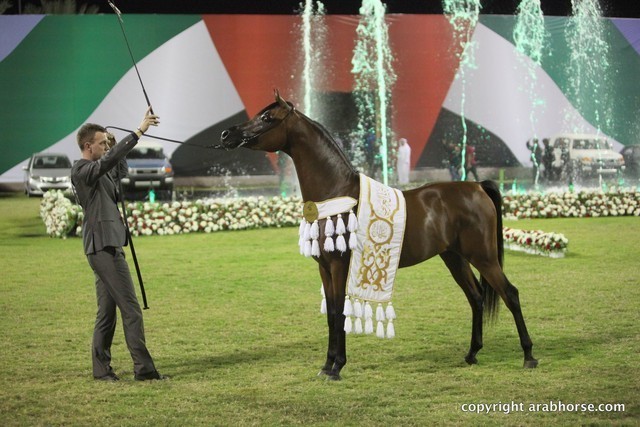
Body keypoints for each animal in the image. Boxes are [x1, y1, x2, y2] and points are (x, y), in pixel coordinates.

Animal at [216, 91, 538, 380]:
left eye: (267, 118)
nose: (226, 134)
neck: (337, 191)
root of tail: (478, 187)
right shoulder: (324, 268)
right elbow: (331, 314)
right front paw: (326, 365)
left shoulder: (339, 265)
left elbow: (339, 312)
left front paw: (337, 367)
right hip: (454, 258)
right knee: (476, 297)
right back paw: (472, 354)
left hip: (483, 257)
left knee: (510, 294)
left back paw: (528, 356)